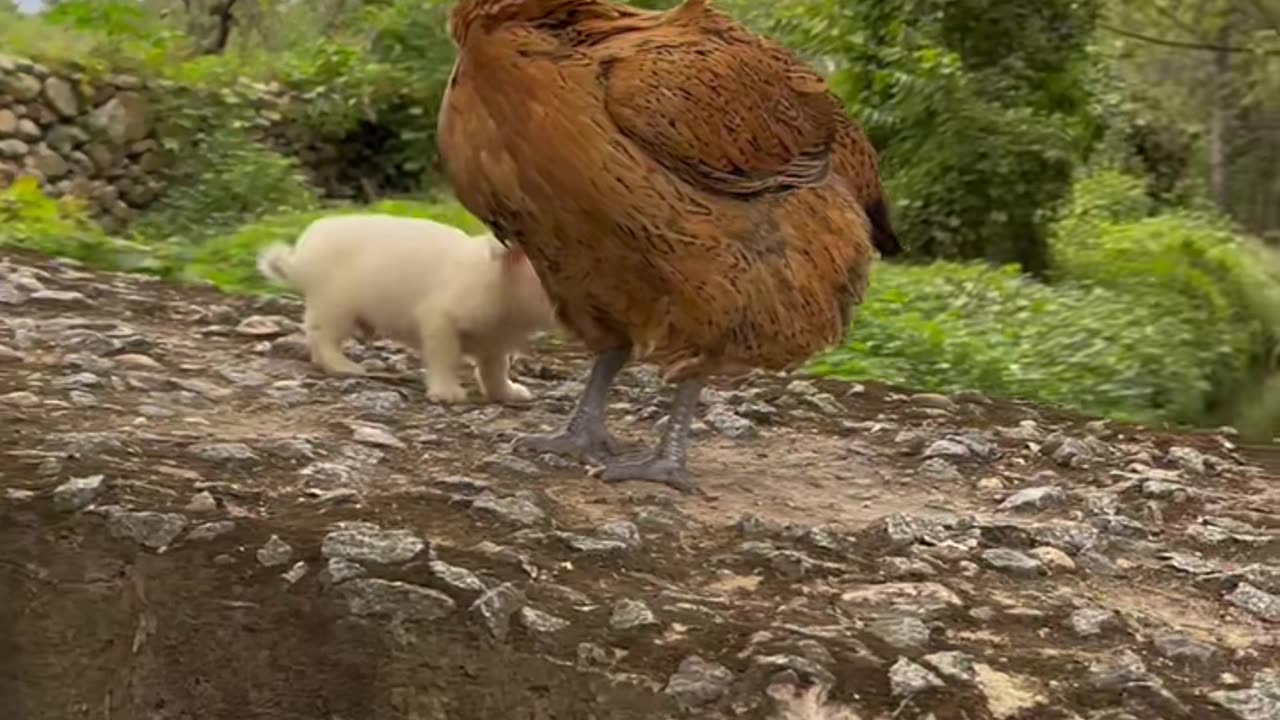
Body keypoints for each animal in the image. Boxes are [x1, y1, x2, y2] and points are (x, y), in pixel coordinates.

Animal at [258, 212, 555, 404]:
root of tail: (300, 258)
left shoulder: (495, 342)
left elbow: (495, 369)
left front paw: (508, 393)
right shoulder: (440, 321)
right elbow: (445, 358)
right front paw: (447, 393)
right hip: (334, 306)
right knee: (322, 337)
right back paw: (345, 367)